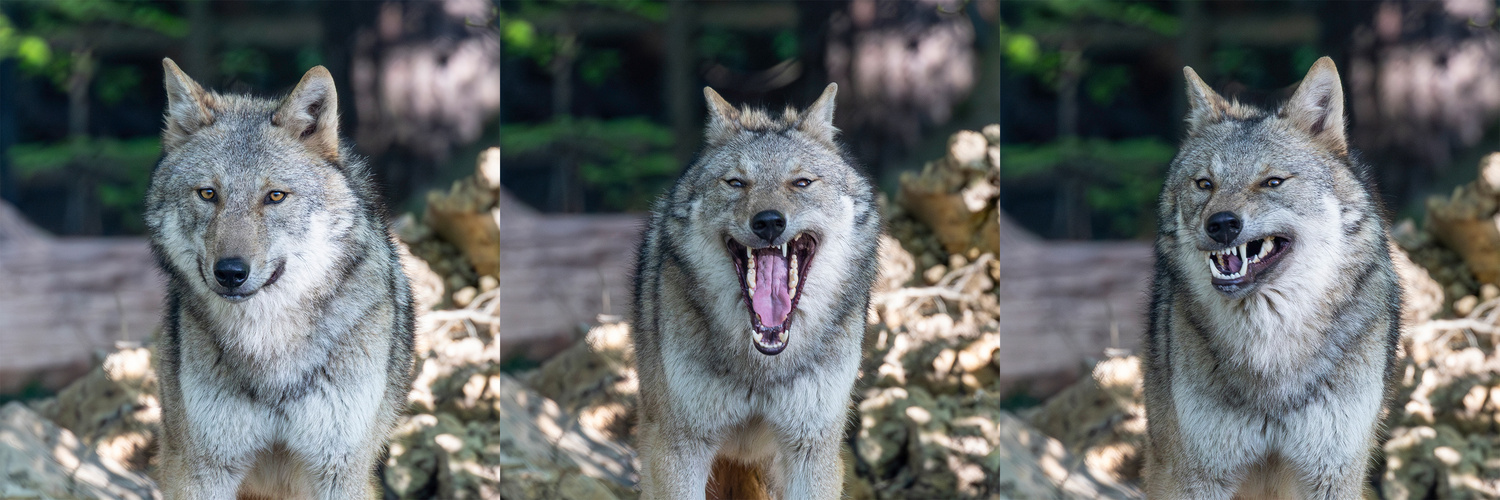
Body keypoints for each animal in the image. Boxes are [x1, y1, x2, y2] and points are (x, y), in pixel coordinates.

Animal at [144, 59, 414, 498]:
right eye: (208, 194)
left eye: (275, 196)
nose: (230, 272)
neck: (270, 349)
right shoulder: (200, 471)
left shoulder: (339, 470)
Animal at [630, 83, 882, 495]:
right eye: (736, 182)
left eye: (801, 182)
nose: (768, 222)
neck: (762, 366)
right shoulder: (679, 449)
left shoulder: (812, 450)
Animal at [1140, 56, 1398, 495]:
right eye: (1205, 184)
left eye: (1272, 182)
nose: (1221, 224)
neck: (1271, 354)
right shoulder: (1199, 475)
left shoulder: (1333, 473)